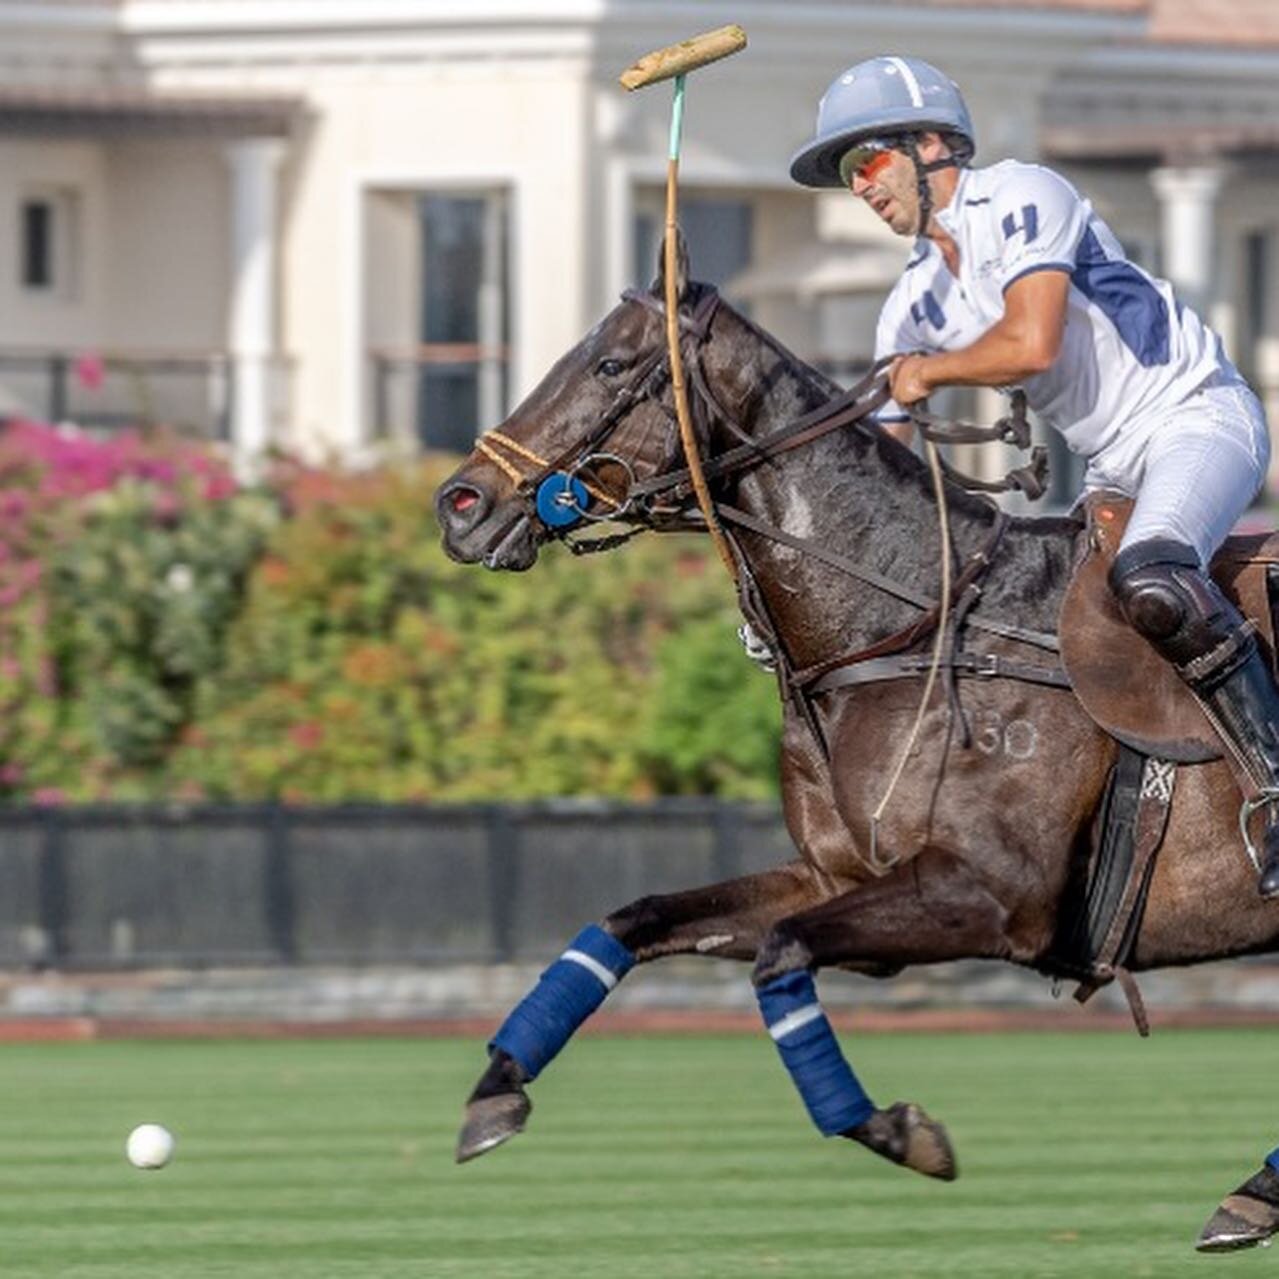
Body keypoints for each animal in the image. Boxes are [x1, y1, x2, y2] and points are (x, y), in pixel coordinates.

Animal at [434, 257, 1279, 1248]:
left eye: (608, 364)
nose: (458, 504)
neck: (907, 625)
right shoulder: (837, 875)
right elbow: (630, 920)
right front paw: (495, 1090)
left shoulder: (989, 895)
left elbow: (781, 953)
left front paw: (895, 1129)